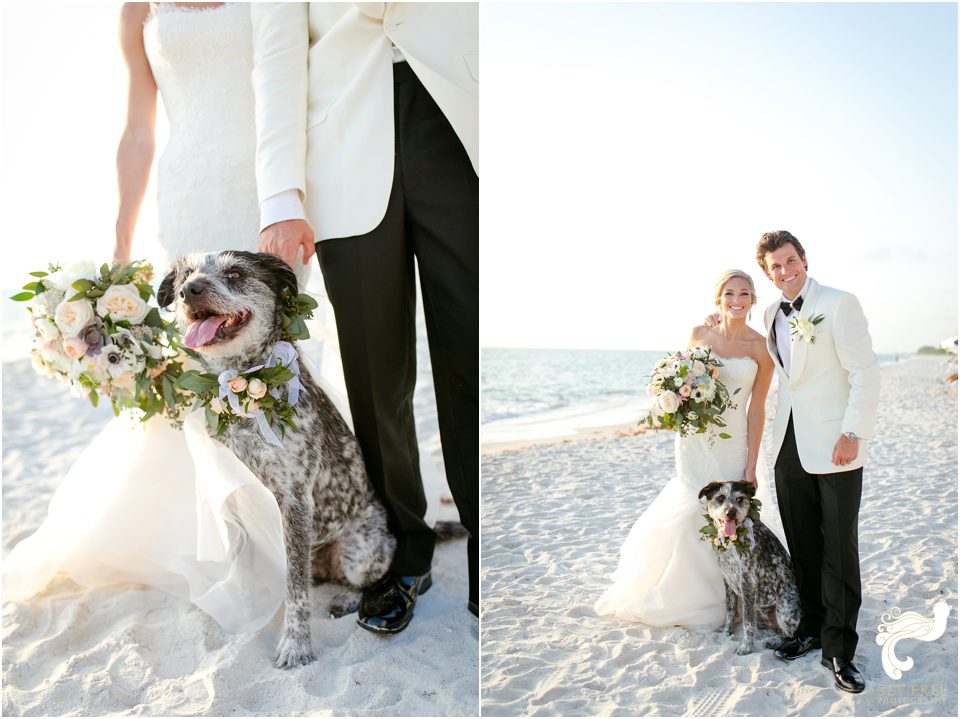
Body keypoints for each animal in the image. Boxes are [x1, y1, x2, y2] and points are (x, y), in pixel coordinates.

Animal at [159, 252, 396, 668]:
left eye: (236, 273)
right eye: (186, 275)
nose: (191, 290)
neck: (244, 385)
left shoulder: (295, 499)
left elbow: (296, 589)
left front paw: (296, 643)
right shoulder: (235, 496)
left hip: (359, 550)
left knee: (359, 578)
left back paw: (347, 596)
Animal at [696, 480, 804, 656]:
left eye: (740, 499)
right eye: (720, 497)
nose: (731, 513)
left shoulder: (748, 582)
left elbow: (747, 620)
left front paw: (746, 646)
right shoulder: (727, 579)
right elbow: (730, 611)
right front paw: (726, 635)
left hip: (784, 607)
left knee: (791, 634)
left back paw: (774, 642)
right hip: (764, 610)